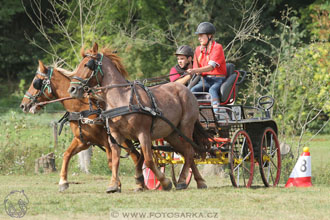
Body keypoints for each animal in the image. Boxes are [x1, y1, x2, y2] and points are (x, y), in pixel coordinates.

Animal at [20, 60, 143, 192]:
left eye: (36, 82)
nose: (23, 105)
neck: (81, 109)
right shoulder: (82, 141)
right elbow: (66, 154)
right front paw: (63, 182)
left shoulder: (107, 141)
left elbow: (112, 162)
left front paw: (116, 184)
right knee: (137, 156)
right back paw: (140, 183)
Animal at [68, 43, 210, 191]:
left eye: (87, 65)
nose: (72, 89)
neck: (123, 99)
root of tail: (186, 90)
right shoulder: (116, 135)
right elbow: (116, 160)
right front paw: (114, 185)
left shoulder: (143, 133)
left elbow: (148, 160)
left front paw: (165, 182)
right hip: (171, 133)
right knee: (187, 152)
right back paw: (199, 181)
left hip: (185, 127)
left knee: (189, 151)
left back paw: (182, 180)